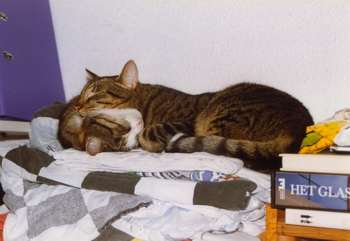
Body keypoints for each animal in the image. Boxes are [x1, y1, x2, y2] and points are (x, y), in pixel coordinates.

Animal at [58, 59, 314, 170]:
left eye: (93, 96)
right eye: (80, 95)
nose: (77, 106)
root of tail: (298, 128)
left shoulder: (187, 120)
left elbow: (148, 133)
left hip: (219, 115)